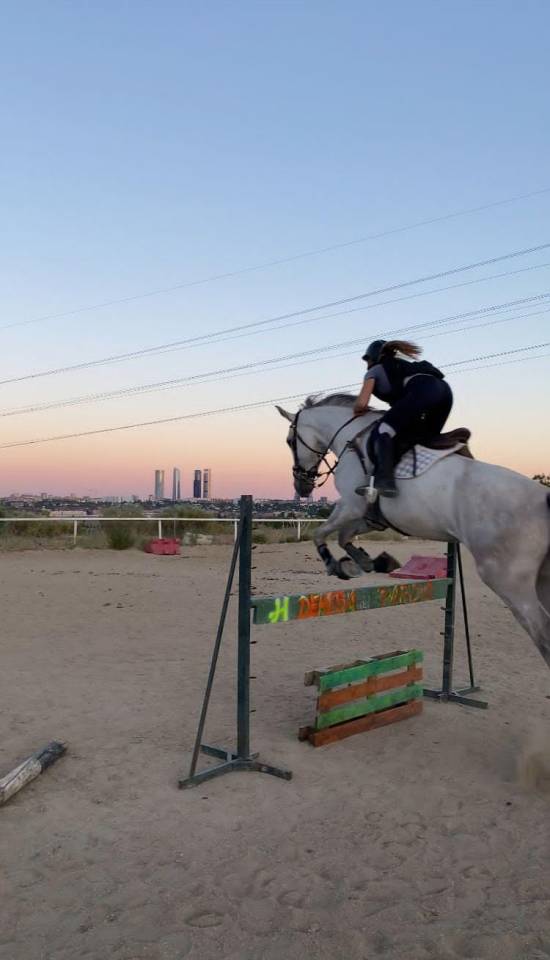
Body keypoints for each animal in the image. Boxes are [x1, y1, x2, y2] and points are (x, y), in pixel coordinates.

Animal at [276, 394, 550, 667]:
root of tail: (544, 498)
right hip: (540, 579)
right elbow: (344, 537)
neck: (353, 438)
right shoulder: (370, 516)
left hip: (506, 580)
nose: (301, 487)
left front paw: (336, 565)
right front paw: (367, 562)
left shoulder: (351, 505)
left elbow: (320, 534)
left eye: (290, 441)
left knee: (542, 633)